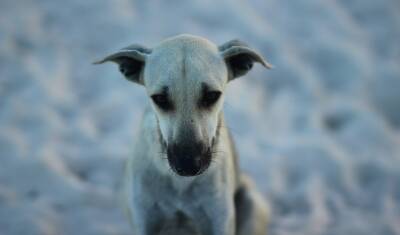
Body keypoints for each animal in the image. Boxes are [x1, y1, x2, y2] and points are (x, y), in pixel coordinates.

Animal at [94, 34, 272, 234]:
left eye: (212, 95)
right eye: (159, 98)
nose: (188, 165)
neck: (181, 185)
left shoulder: (218, 220)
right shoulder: (145, 220)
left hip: (252, 202)